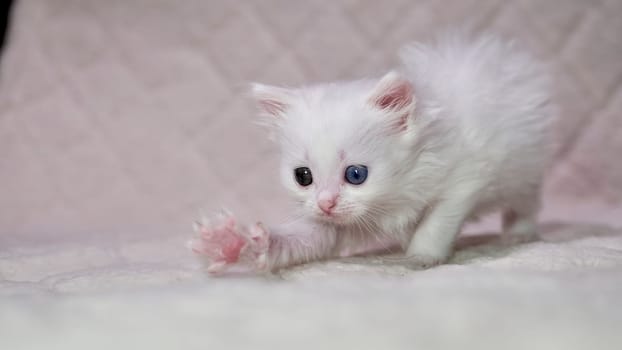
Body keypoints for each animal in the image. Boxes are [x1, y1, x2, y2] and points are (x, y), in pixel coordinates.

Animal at [191, 33, 556, 274]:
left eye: (356, 175)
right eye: (303, 177)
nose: (326, 203)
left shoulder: (465, 178)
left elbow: (436, 221)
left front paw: (420, 256)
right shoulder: (326, 225)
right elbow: (302, 238)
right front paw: (233, 243)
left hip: (522, 168)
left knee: (526, 202)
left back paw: (520, 233)